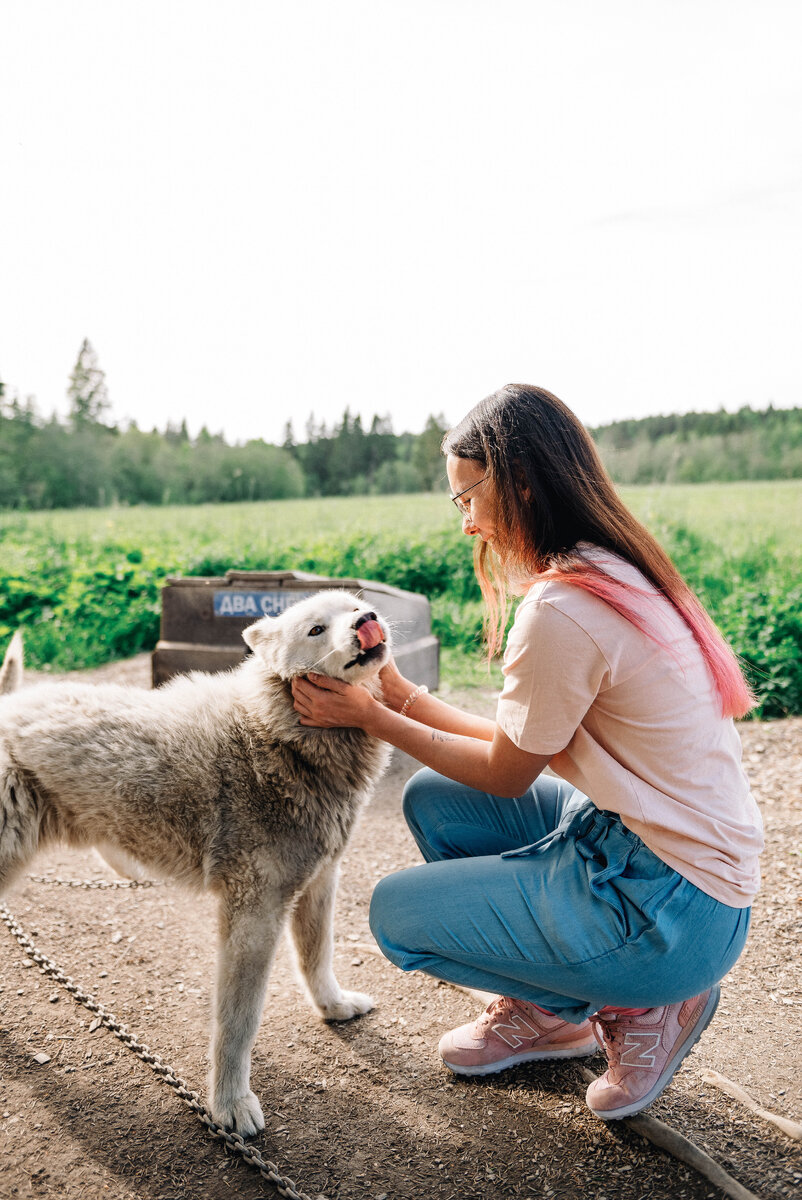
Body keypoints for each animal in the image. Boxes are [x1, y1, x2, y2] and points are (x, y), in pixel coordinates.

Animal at [0, 590, 391, 1132]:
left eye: (354, 606)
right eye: (316, 629)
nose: (367, 620)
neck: (275, 736)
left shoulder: (318, 884)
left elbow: (317, 959)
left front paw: (334, 1008)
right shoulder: (253, 917)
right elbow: (238, 1023)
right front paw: (230, 1104)